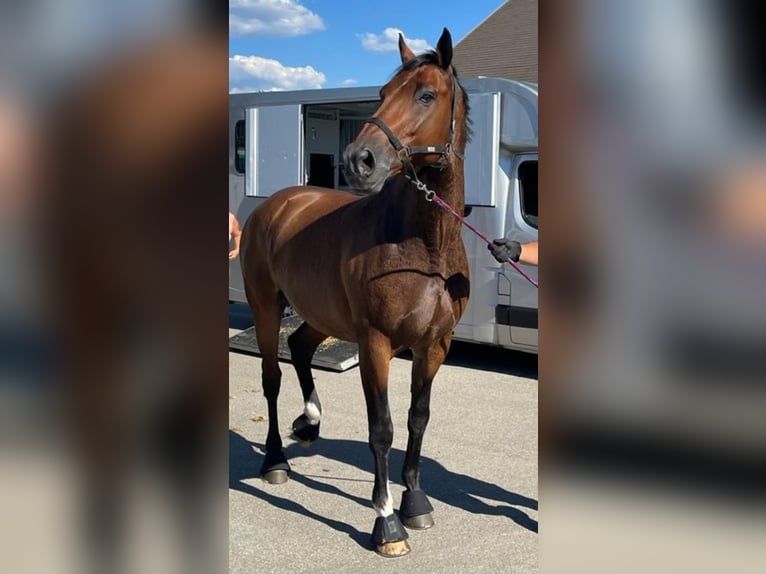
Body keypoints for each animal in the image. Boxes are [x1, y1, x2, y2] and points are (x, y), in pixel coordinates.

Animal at [240, 28, 470, 557]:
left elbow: (417, 418)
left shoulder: (435, 345)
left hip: (319, 312)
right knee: (271, 377)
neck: (423, 246)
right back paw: (276, 460)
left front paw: (415, 502)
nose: (358, 161)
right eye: (382, 94)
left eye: (426, 95)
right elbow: (381, 429)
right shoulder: (375, 343)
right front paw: (387, 523)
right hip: (266, 307)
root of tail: (277, 204)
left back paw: (310, 421)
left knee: (301, 347)